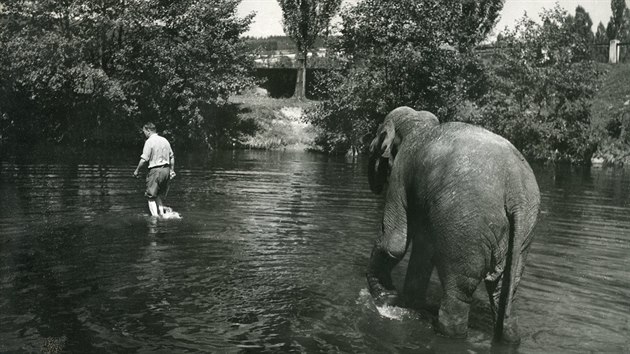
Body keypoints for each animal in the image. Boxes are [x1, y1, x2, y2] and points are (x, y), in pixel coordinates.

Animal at [366, 106, 544, 342]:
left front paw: (385, 298)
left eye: (371, 149)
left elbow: (394, 243)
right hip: (525, 232)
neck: (419, 123)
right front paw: (406, 303)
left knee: (458, 292)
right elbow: (423, 250)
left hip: (466, 226)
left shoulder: (400, 175)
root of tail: (517, 192)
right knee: (505, 290)